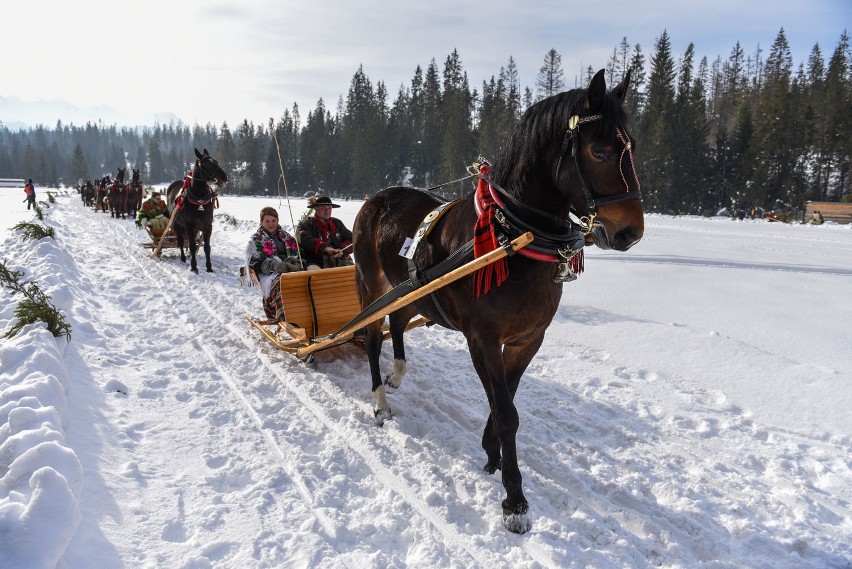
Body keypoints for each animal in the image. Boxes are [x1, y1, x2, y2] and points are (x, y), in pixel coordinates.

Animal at [350, 70, 644, 532]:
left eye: (630, 145)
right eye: (598, 150)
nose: (631, 231)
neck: (513, 236)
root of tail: (375, 199)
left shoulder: (527, 339)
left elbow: (506, 398)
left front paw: (492, 453)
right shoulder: (481, 337)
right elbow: (506, 411)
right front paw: (515, 500)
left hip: (410, 290)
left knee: (396, 325)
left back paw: (397, 376)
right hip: (371, 282)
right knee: (372, 337)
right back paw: (380, 401)